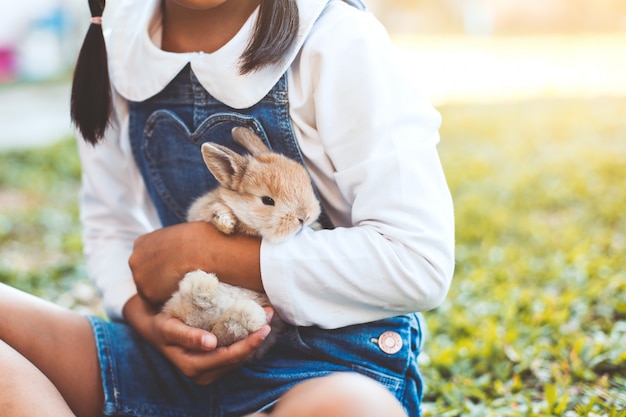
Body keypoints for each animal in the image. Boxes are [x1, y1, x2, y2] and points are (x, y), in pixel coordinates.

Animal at [162, 126, 316, 352]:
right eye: (267, 200)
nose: (304, 217)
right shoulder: (198, 211)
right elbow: (213, 209)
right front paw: (226, 221)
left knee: (223, 331)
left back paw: (244, 314)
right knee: (199, 320)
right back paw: (202, 287)